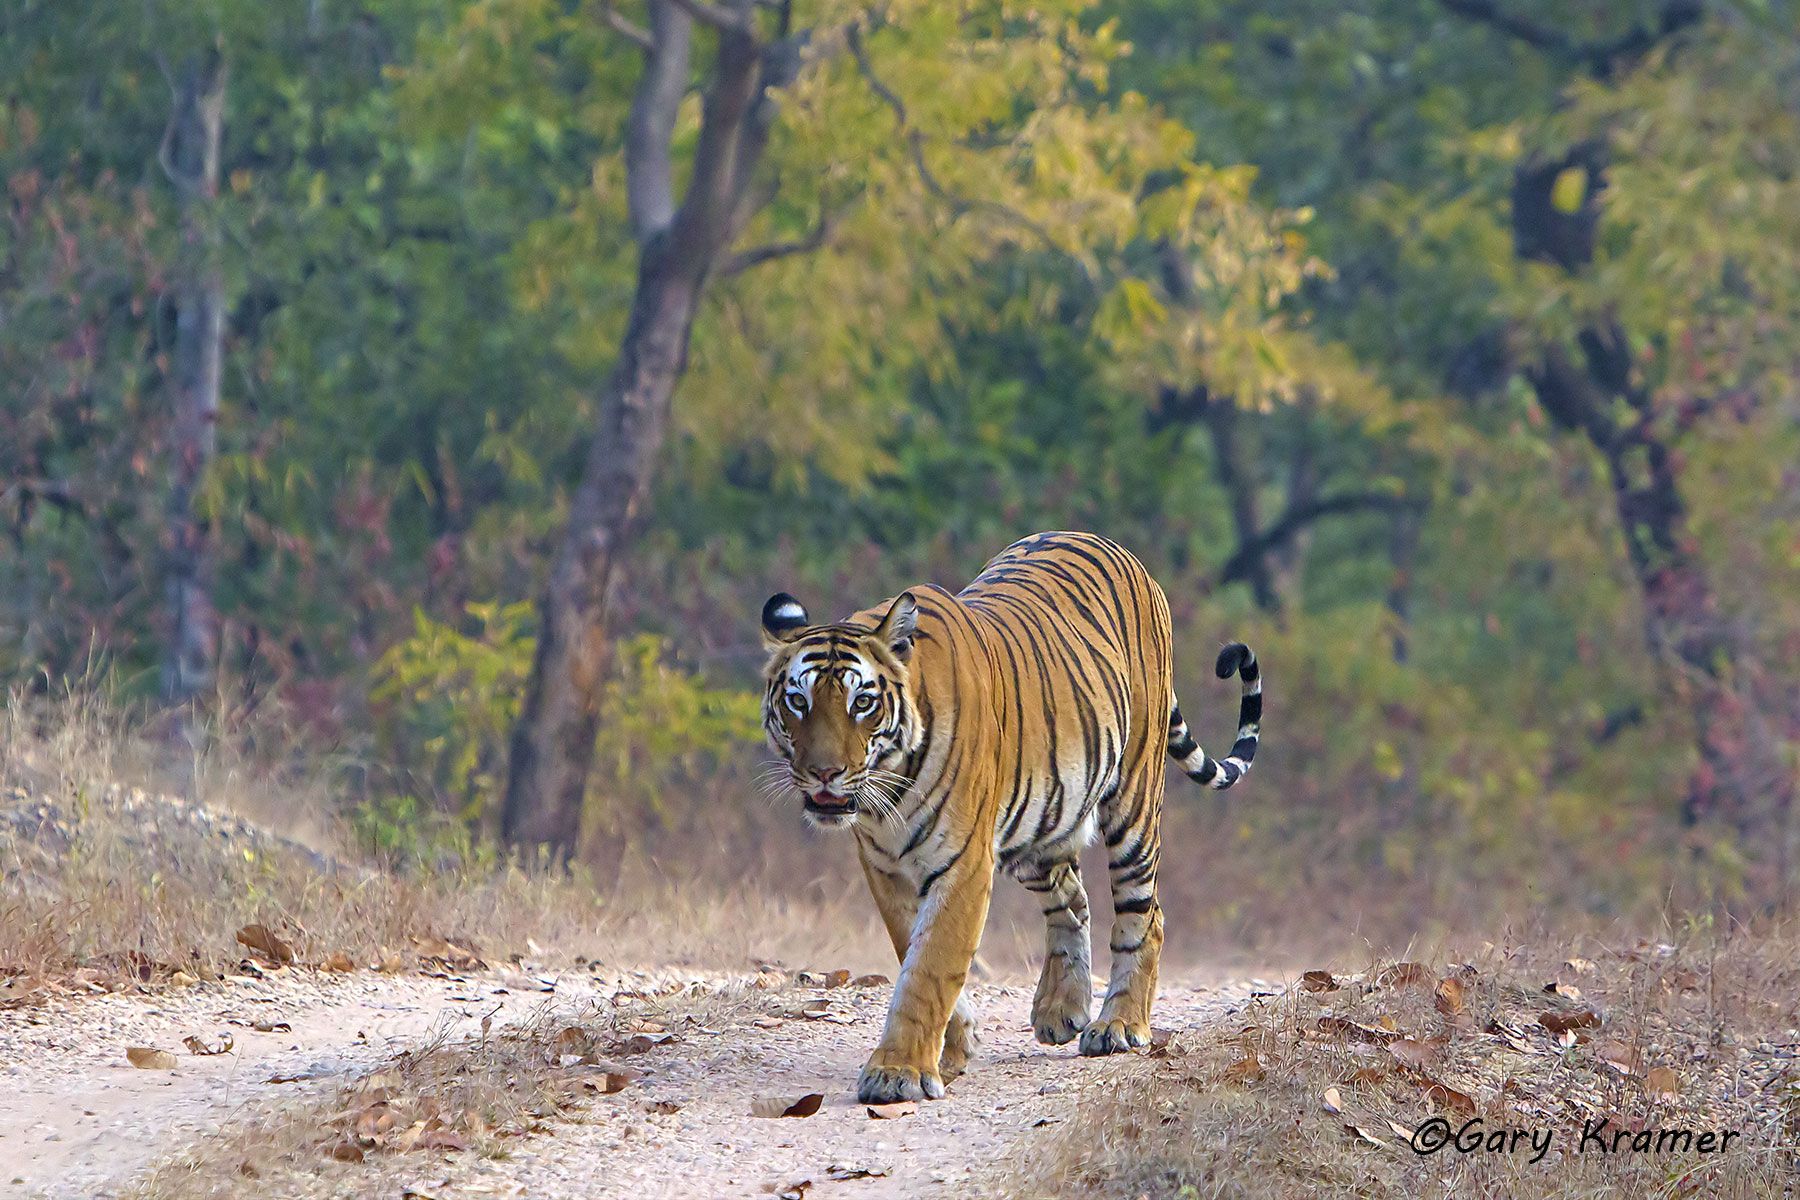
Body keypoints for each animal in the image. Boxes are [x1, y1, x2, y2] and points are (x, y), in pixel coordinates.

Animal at [759, 530, 1261, 1104]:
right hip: (1041, 825)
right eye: (798, 702)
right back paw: (1060, 1010)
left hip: (1133, 801)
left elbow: (930, 966)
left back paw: (1118, 1026)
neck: (891, 786)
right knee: (1072, 901)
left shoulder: (963, 864)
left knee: (1145, 915)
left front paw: (898, 1072)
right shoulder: (885, 867)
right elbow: (913, 949)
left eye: (862, 703)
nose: (824, 773)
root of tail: (1115, 547)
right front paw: (952, 1049)